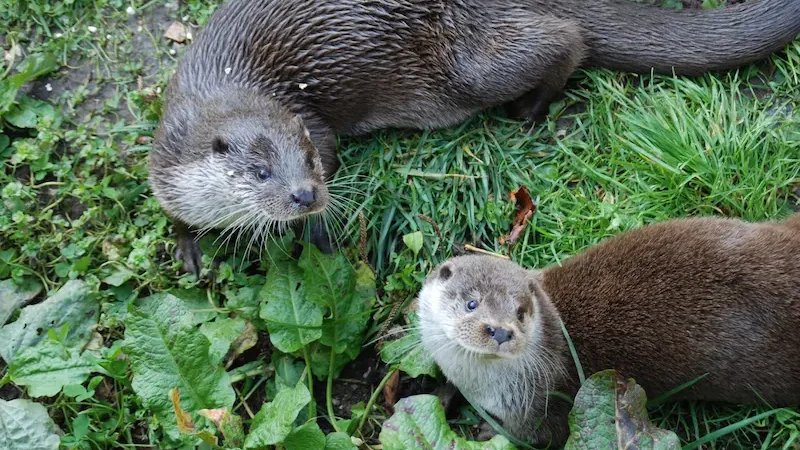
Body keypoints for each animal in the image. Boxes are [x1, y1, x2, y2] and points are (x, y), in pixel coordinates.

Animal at [148, 0, 800, 274]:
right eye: (260, 171)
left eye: (307, 158)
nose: (304, 196)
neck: (225, 90)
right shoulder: (166, 162)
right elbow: (175, 212)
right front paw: (188, 247)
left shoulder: (314, 123)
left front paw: (318, 235)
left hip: (466, 63)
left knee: (564, 38)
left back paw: (530, 108)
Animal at [416, 214, 800, 446]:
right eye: (472, 303)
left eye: (521, 313)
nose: (500, 331)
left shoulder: (541, 408)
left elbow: (532, 437)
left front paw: (484, 431)